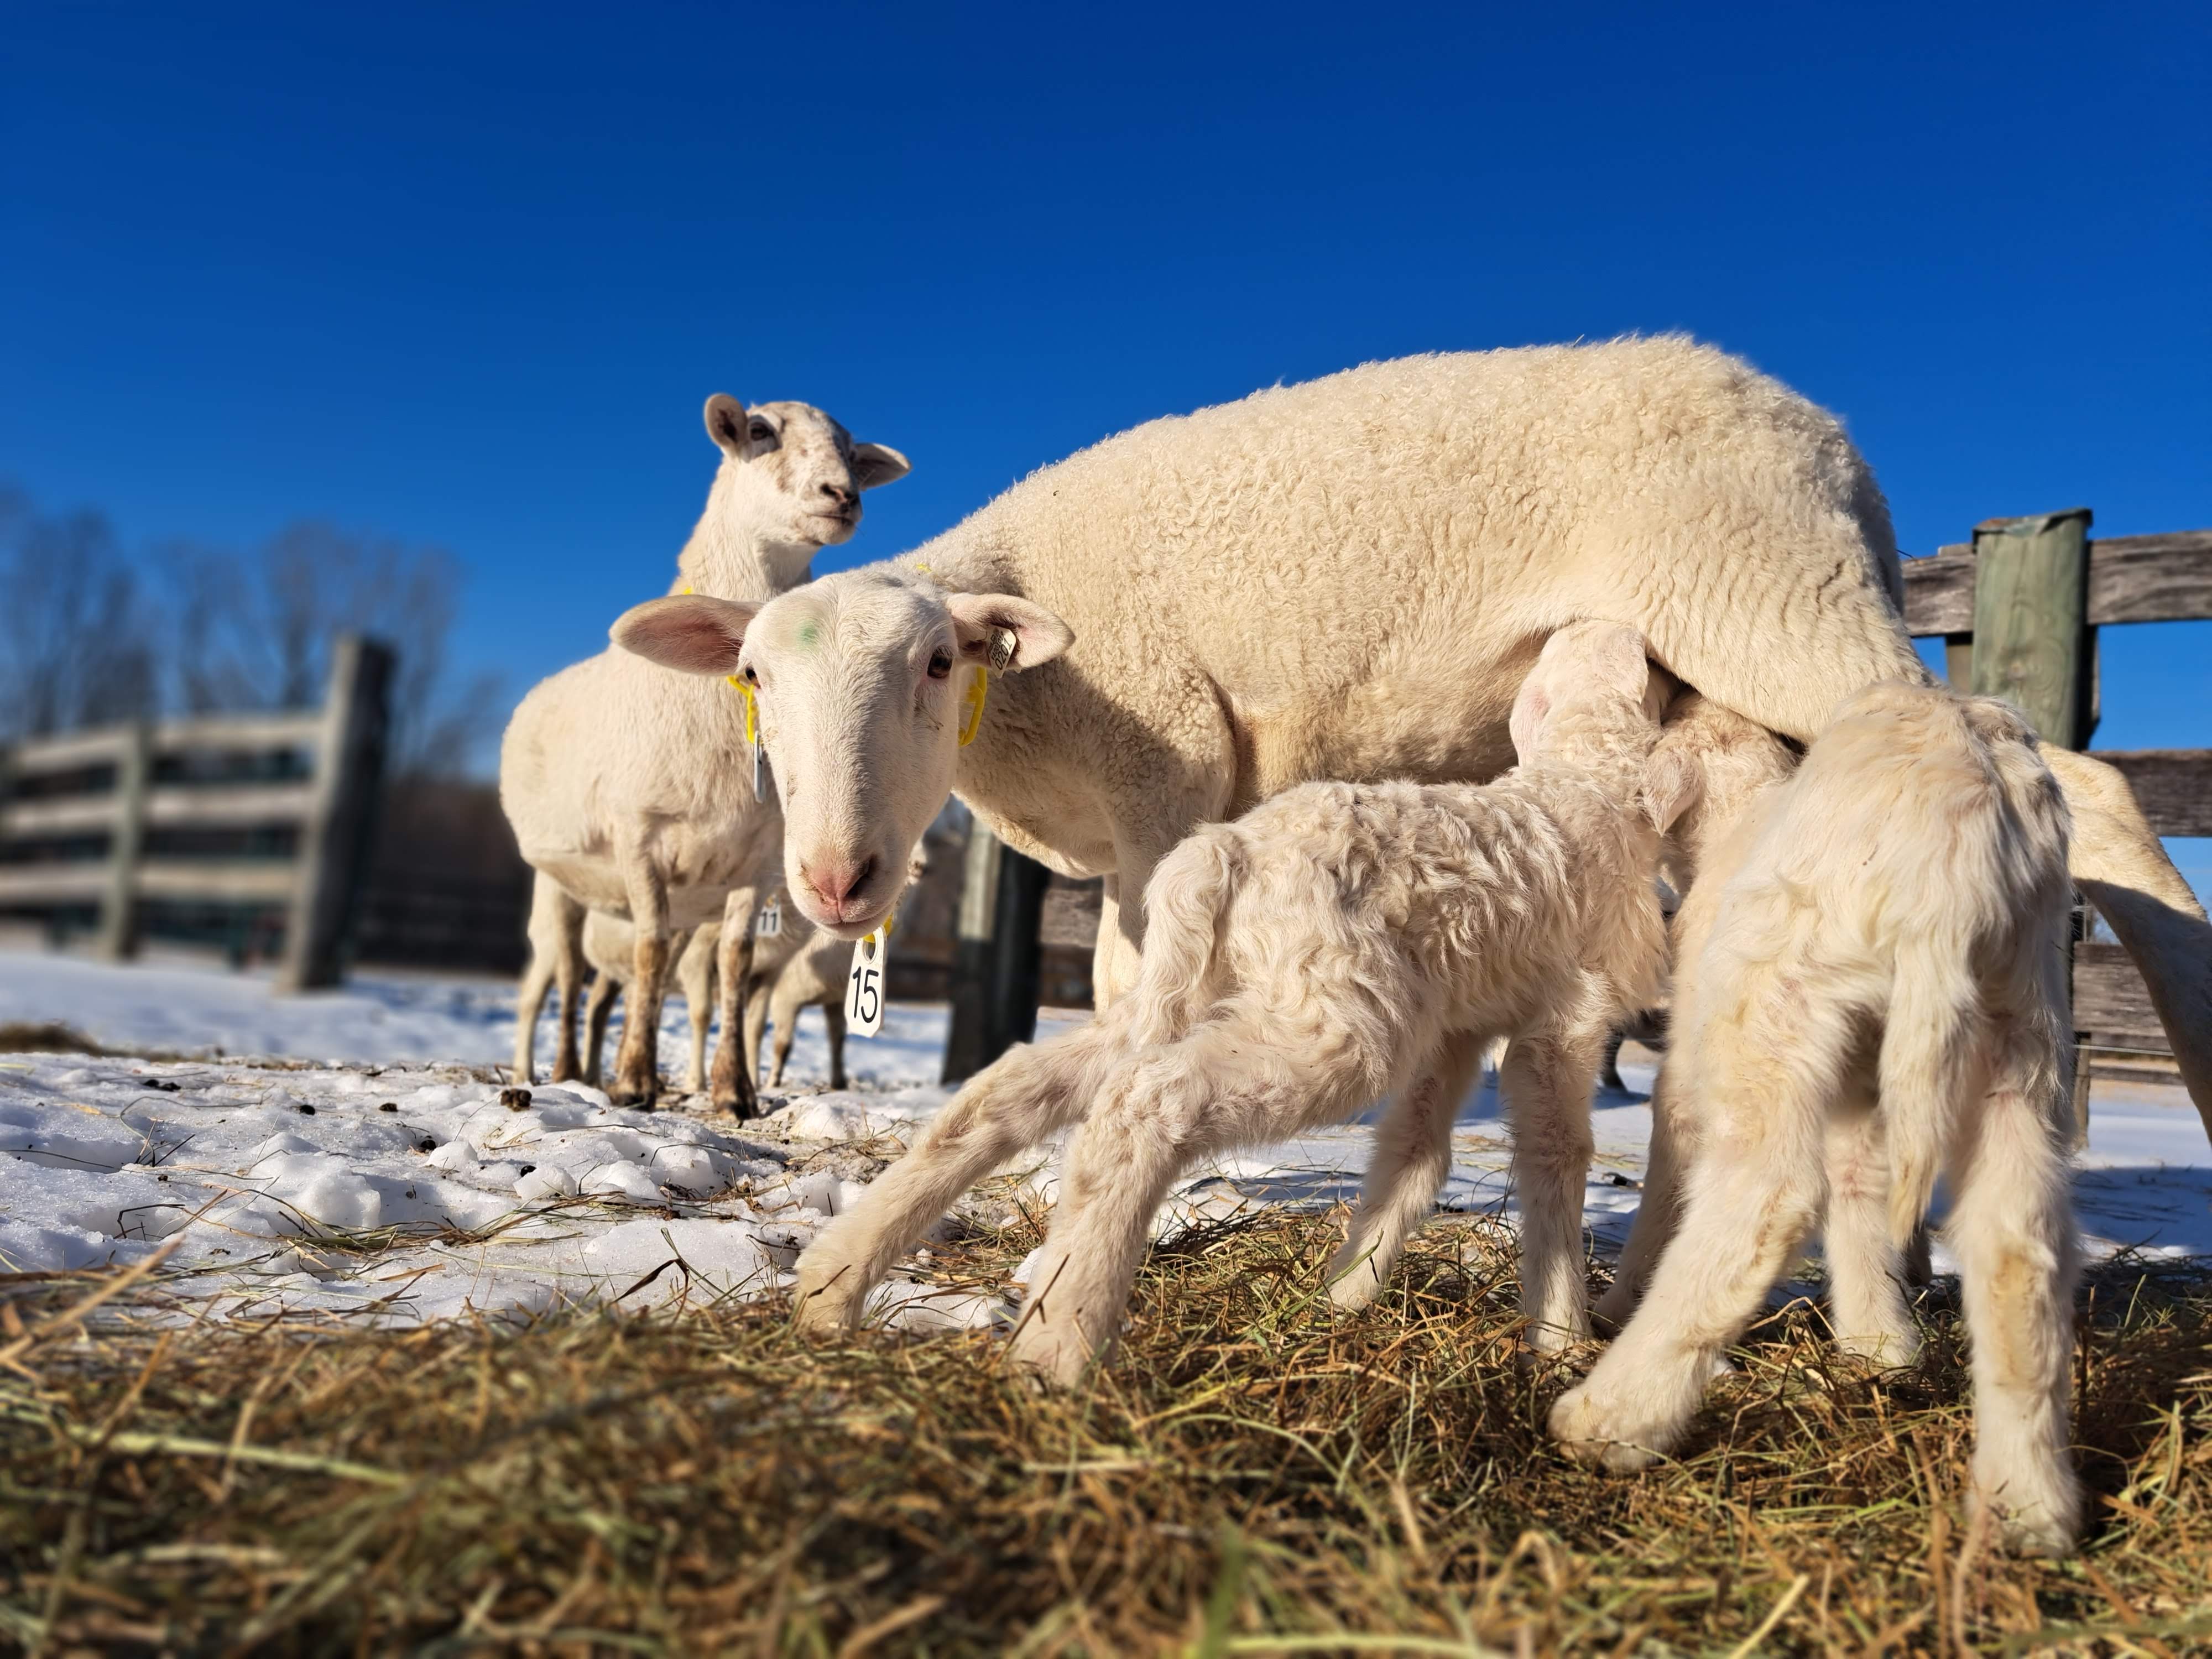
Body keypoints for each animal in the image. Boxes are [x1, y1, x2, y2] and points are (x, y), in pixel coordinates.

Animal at [501, 393, 909, 1111]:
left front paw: (733, 1090)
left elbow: (733, 967)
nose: (843, 495)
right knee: (566, 975)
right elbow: (648, 952)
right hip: (559, 882)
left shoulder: (758, 863)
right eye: (760, 431)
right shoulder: (639, 836)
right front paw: (636, 1081)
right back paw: (564, 1071)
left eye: (853, 453)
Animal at [604, 338, 2212, 1128]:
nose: (835, 883)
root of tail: (1837, 453)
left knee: (2071, 787)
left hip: (1770, 593)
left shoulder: (1169, 776)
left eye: (937, 662)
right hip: (1769, 634)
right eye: (753, 684)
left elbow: (1136, 983)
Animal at [791, 623, 1701, 1379]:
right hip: (1333, 1018)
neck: (1581, 780)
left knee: (1017, 1086)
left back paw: (831, 1285)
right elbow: (1556, 1155)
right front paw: (1562, 1339)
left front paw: (1344, 1297)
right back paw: (1054, 1350)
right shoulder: (1569, 1015)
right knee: (1151, 1099)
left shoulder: (1453, 1026)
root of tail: (1223, 851)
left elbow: (1414, 1157)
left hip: (1203, 986)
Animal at [1549, 682, 2082, 1557]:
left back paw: (1610, 1417)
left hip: (1773, 994)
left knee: (1768, 1197)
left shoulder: (1695, 1056)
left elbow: (1674, 1173)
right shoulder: (1860, 1072)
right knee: (2015, 1243)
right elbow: (1861, 1187)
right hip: (2018, 1020)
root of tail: (1962, 805)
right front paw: (1881, 1348)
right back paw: (2027, 1509)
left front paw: (1617, 1302)